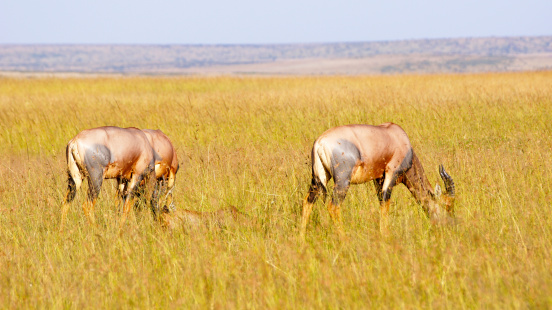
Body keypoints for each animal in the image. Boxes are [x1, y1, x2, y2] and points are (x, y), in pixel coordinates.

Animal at [300, 122, 454, 239]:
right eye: (447, 205)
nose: (447, 227)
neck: (397, 137)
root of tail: (319, 143)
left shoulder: (378, 179)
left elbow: (381, 201)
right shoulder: (391, 173)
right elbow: (386, 202)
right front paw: (386, 235)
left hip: (318, 179)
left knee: (308, 200)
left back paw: (301, 237)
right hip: (342, 181)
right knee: (333, 206)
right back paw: (344, 238)